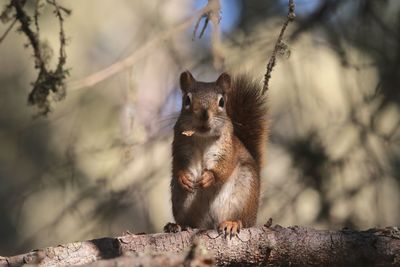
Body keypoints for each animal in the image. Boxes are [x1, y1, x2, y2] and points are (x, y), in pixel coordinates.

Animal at [164, 70, 268, 237]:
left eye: (221, 102)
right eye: (187, 99)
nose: (204, 114)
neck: (202, 138)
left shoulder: (227, 148)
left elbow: (225, 165)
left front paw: (209, 177)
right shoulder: (180, 145)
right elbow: (177, 164)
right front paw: (183, 177)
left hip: (244, 193)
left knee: (243, 221)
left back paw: (232, 223)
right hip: (179, 199)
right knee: (190, 222)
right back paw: (177, 226)